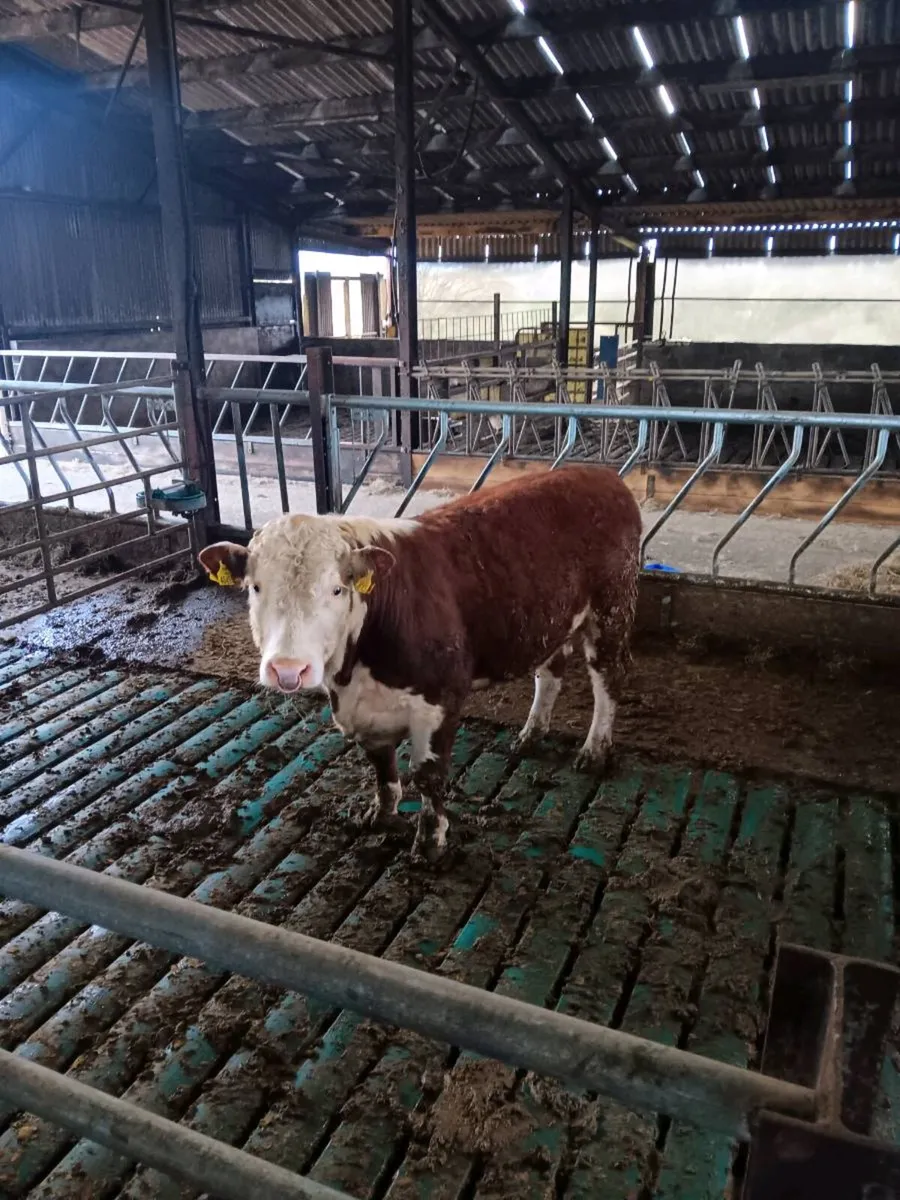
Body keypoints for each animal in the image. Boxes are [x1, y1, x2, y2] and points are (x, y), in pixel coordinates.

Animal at [198, 466, 641, 862]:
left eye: (337, 589)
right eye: (255, 587)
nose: (288, 669)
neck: (354, 673)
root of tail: (602, 475)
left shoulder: (442, 697)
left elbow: (429, 775)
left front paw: (430, 843)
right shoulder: (365, 711)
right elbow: (382, 766)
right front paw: (381, 814)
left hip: (612, 608)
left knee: (608, 677)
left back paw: (594, 750)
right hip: (552, 618)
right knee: (550, 671)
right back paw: (531, 733)